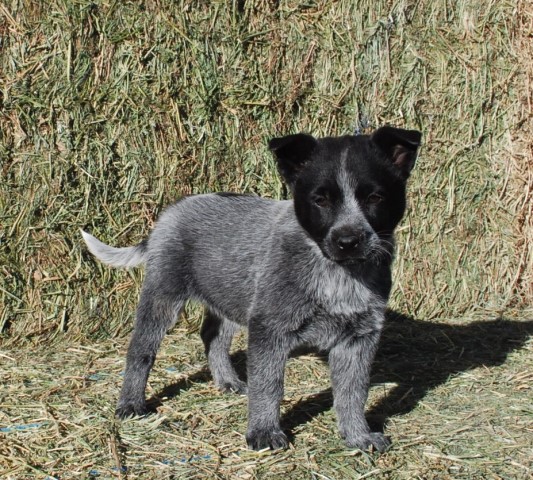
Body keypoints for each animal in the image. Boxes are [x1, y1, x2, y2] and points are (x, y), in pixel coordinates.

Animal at [80, 125, 420, 452]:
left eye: (375, 198)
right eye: (320, 200)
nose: (348, 241)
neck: (337, 273)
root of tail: (172, 210)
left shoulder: (360, 336)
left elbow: (353, 392)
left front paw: (358, 436)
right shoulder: (269, 328)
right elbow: (269, 385)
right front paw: (264, 432)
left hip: (230, 297)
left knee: (213, 337)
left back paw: (227, 381)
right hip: (164, 294)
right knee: (141, 350)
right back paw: (131, 403)